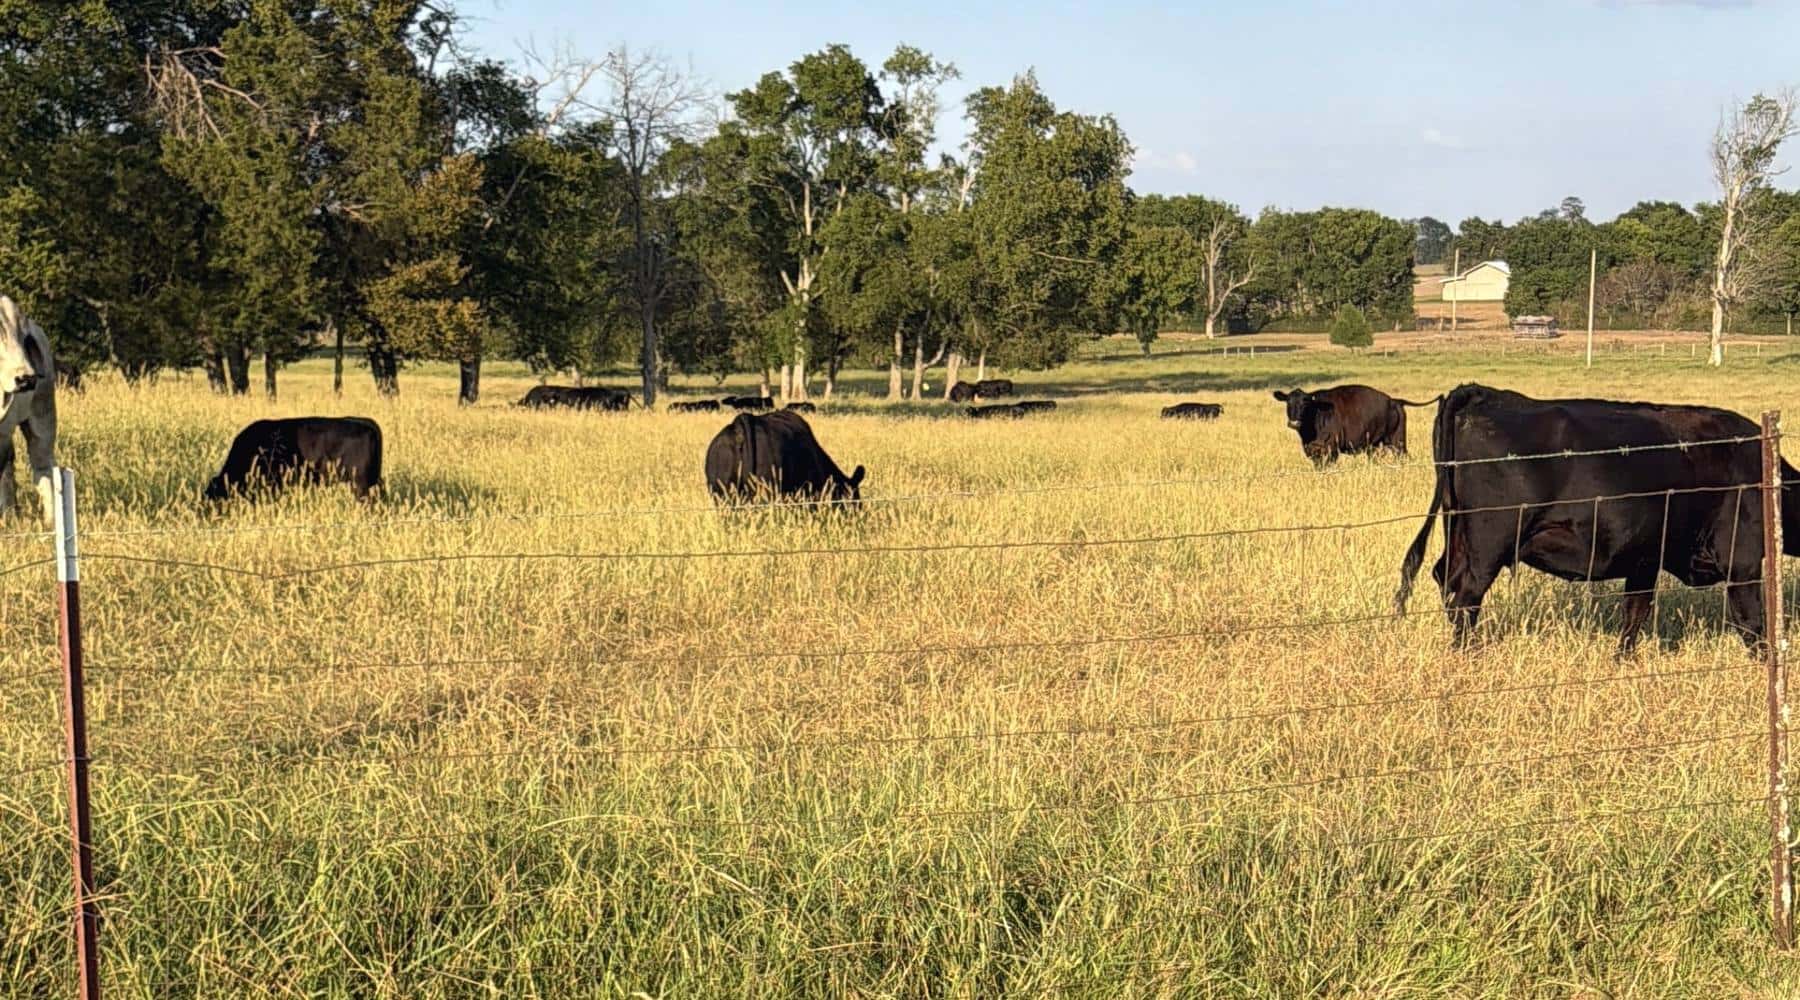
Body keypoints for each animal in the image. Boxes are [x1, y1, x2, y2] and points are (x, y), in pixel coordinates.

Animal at [1272, 385, 1438, 465]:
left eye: (1305, 403)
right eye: (1288, 402)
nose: (1294, 422)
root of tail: (1393, 400)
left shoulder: (1332, 449)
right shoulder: (1312, 451)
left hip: (1398, 441)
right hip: (1375, 445)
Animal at [1393, 383, 1800, 653]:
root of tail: (1480, 393)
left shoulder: (1645, 559)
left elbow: (1634, 615)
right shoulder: (1741, 560)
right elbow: (1753, 623)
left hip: (1458, 528)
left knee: (1446, 579)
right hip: (1491, 540)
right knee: (1467, 594)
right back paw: (1468, 654)